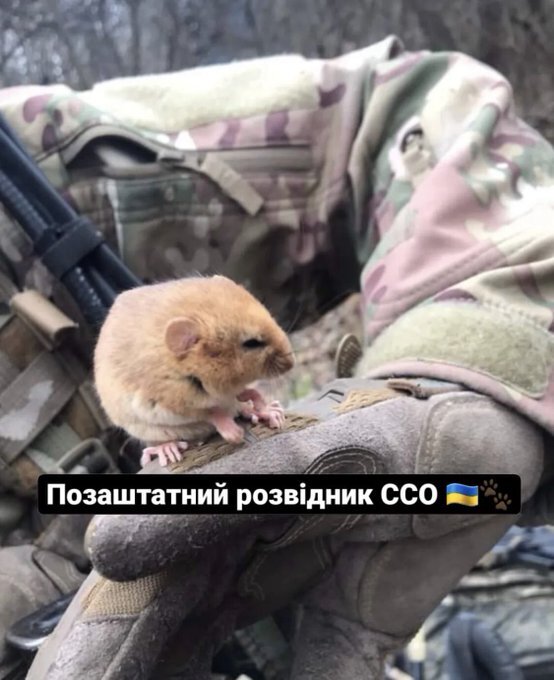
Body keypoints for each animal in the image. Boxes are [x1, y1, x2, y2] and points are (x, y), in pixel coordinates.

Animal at [93, 275, 295, 467]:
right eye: (251, 343)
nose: (292, 363)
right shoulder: (171, 406)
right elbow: (211, 412)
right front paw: (234, 434)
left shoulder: (231, 391)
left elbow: (250, 393)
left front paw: (266, 410)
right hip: (148, 429)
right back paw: (166, 449)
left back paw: (261, 412)